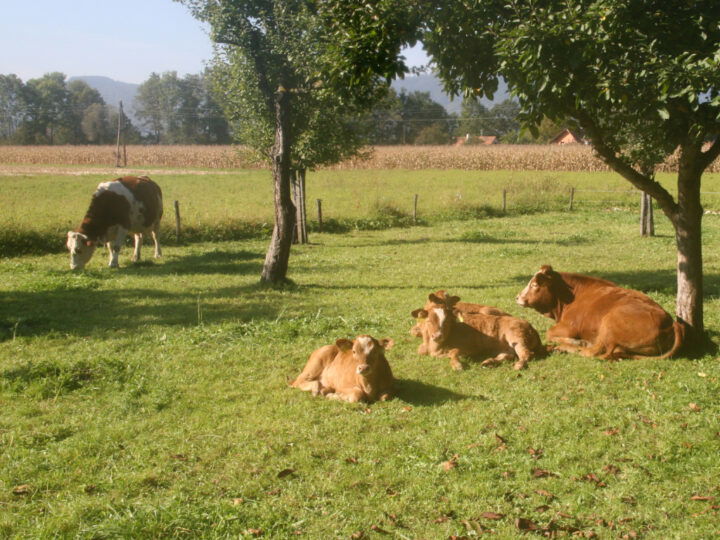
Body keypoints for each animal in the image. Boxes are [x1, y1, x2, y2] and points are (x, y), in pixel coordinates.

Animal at [410, 292, 544, 372]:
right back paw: (488, 362)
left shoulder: (468, 348)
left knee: (526, 354)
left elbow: (454, 352)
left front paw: (457, 365)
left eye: (447, 321)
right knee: (507, 356)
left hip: (517, 339)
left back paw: (518, 365)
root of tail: (531, 327)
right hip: (508, 347)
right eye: (428, 320)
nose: (437, 335)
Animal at [516, 264, 688, 358]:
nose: (517, 297)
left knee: (593, 352)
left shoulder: (568, 326)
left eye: (534, 284)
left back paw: (567, 347)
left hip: (609, 322)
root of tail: (671, 322)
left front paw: (574, 341)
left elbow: (549, 333)